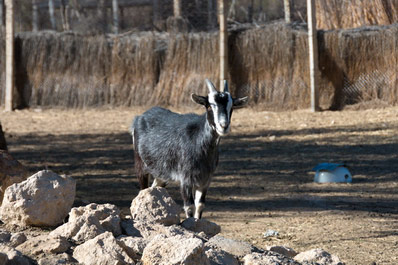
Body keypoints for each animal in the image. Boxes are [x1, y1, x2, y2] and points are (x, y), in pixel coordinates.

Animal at [131, 79, 249, 219]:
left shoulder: (205, 180)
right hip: (141, 164)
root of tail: (138, 118)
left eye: (231, 108)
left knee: (154, 188)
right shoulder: (186, 178)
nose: (224, 126)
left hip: (162, 172)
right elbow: (190, 206)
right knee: (142, 190)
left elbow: (200, 205)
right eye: (209, 106)